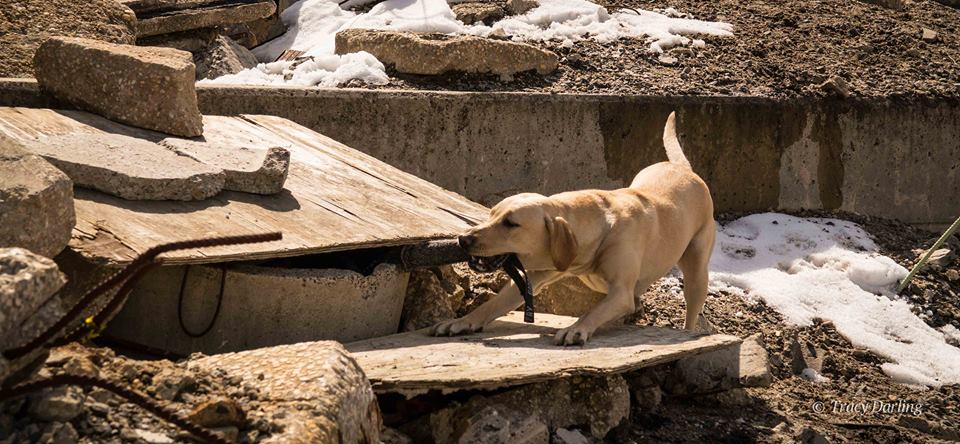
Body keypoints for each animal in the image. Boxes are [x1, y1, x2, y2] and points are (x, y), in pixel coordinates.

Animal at [432, 112, 716, 346]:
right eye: (491, 214)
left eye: (511, 223)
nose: (463, 239)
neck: (600, 224)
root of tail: (683, 168)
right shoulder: (539, 273)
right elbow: (494, 303)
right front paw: (462, 321)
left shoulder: (619, 291)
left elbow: (596, 310)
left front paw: (576, 329)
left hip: (696, 272)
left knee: (691, 310)